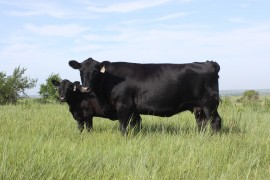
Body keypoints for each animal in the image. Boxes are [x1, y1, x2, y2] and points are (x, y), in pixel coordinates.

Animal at [68, 57, 223, 134]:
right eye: (81, 71)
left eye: (95, 71)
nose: (85, 88)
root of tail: (209, 63)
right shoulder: (133, 109)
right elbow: (135, 125)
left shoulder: (123, 105)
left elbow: (123, 126)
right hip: (198, 107)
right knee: (202, 122)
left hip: (209, 103)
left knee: (215, 121)